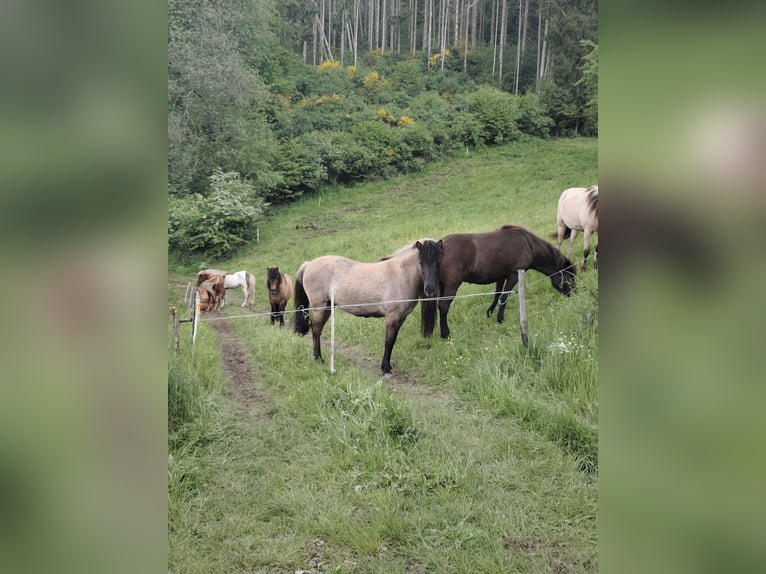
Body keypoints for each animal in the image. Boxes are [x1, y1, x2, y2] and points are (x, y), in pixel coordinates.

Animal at [293, 239, 443, 375]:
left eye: (437, 263)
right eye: (421, 263)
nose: (429, 289)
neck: (400, 275)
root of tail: (308, 265)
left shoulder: (401, 318)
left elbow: (393, 341)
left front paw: (387, 366)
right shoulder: (392, 317)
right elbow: (388, 341)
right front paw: (385, 369)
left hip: (327, 308)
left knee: (317, 329)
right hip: (320, 307)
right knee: (316, 329)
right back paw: (318, 359)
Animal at [421, 225, 576, 340]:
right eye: (569, 277)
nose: (575, 294)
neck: (528, 244)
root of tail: (440, 247)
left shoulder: (501, 276)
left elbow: (497, 295)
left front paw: (489, 312)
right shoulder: (513, 276)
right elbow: (504, 296)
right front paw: (500, 318)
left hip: (442, 286)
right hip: (452, 286)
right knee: (443, 306)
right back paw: (445, 334)